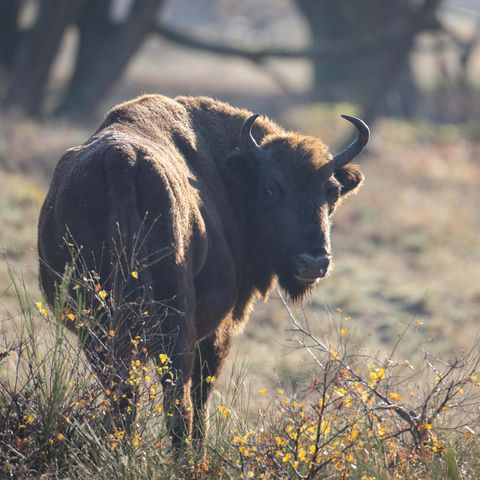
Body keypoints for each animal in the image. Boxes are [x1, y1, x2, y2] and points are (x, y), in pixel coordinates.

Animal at [37, 94, 370, 450]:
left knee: (124, 395)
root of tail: (121, 160)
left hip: (97, 326)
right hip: (173, 326)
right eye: (270, 189)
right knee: (178, 402)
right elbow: (202, 393)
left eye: (331, 192)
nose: (313, 261)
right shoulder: (218, 331)